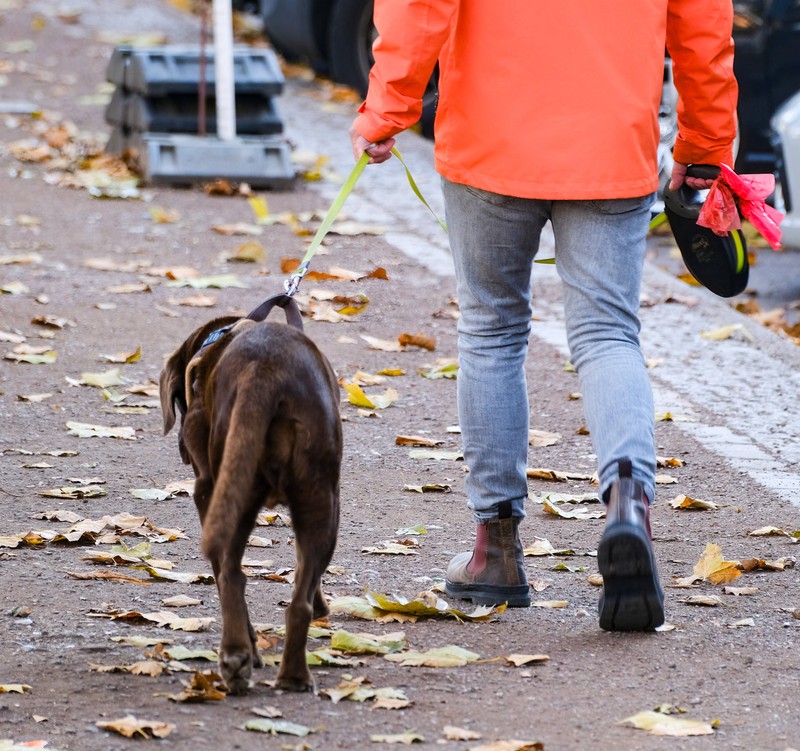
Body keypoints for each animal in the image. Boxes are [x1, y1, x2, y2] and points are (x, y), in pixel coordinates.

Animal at [159, 302, 340, 700]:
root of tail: (264, 373)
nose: (181, 449)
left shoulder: (206, 491)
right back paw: (293, 677)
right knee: (296, 600)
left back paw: (237, 657)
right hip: (320, 500)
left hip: (233, 495)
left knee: (230, 575)